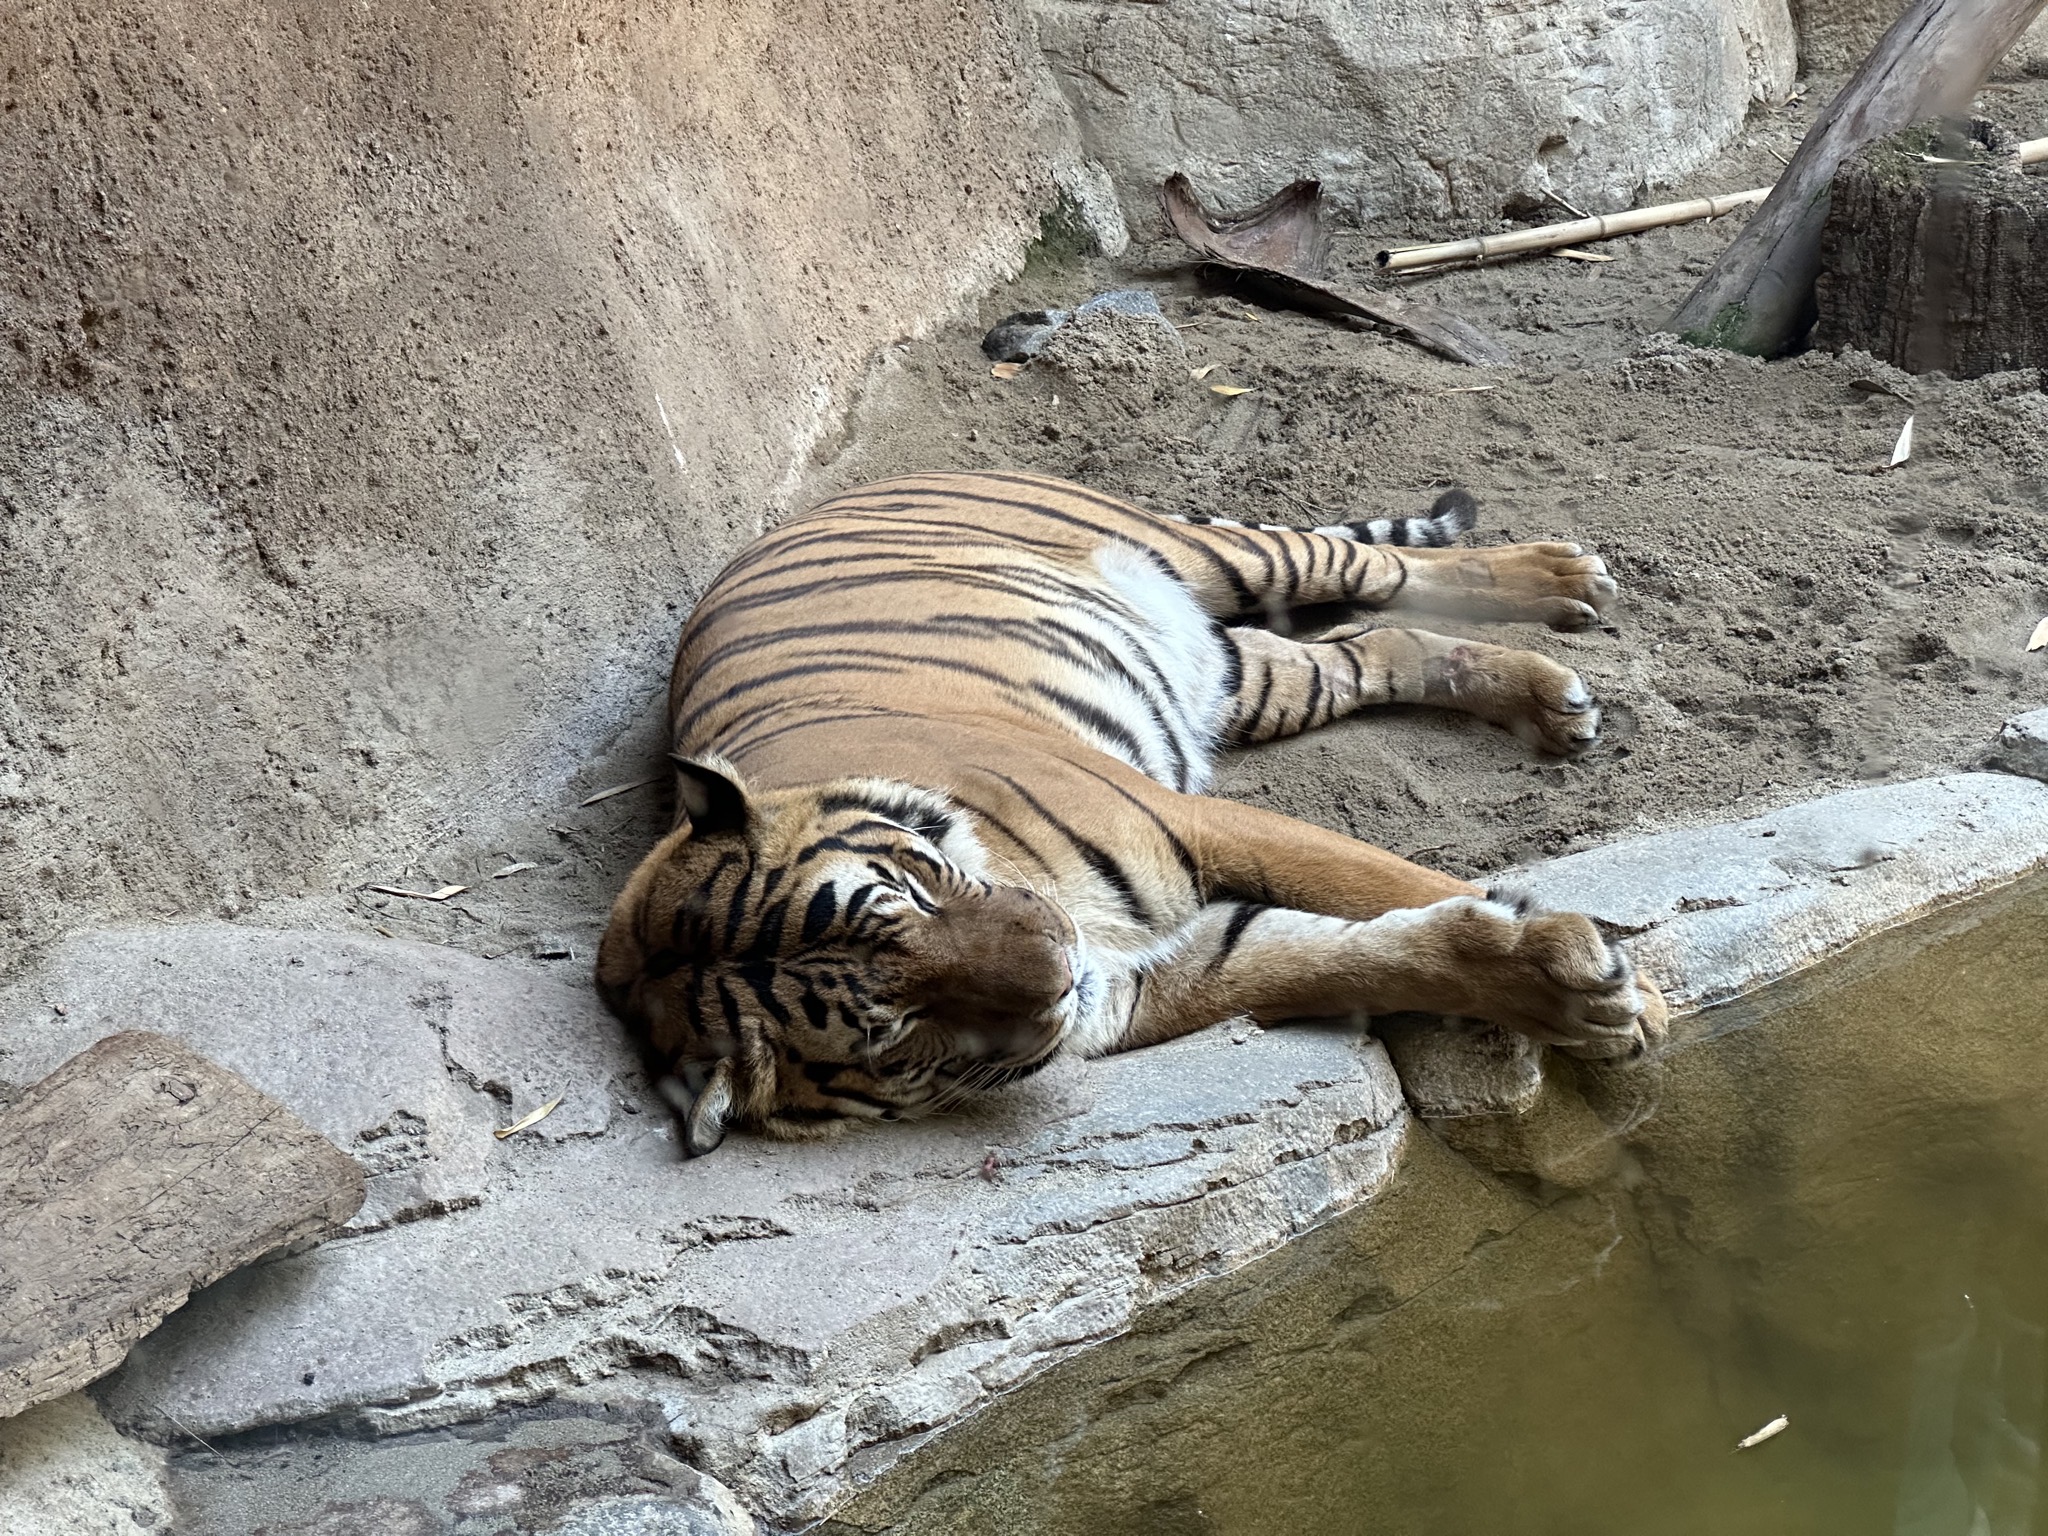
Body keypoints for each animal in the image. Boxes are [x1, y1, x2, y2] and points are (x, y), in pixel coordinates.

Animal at [597, 470, 1667, 1154]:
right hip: (1245, 675)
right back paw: (1548, 689)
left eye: (913, 889)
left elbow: (1379, 879)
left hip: (1213, 554)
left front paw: (1638, 992)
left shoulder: (1196, 823)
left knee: (1368, 570)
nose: (1060, 958)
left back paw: (1563, 585)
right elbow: (1353, 955)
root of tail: (817, 503)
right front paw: (1576, 994)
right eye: (897, 1029)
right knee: (1377, 640)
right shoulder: (1157, 977)